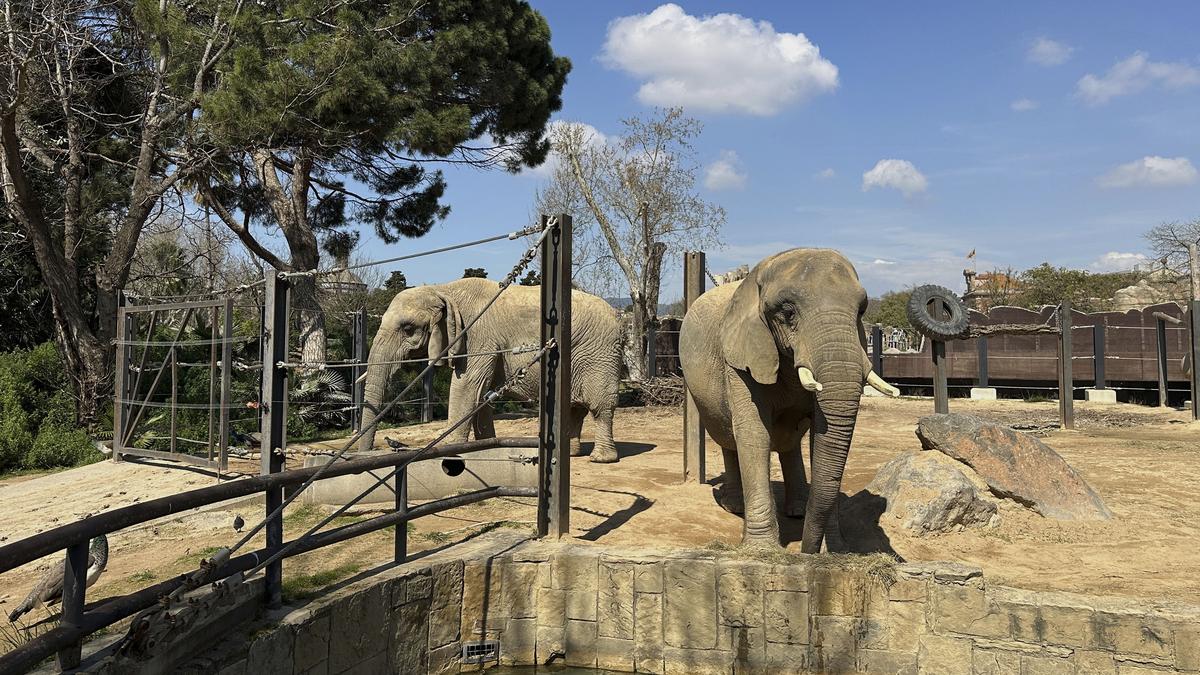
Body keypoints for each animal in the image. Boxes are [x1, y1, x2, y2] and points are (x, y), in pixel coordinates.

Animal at [359, 278, 623, 462]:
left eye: (408, 329)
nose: (370, 453)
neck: (443, 289)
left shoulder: (478, 337)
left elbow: (467, 387)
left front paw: (449, 451)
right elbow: (481, 395)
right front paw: (486, 445)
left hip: (599, 354)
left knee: (600, 407)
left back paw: (601, 459)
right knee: (574, 408)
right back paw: (572, 454)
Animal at [678, 248, 900, 552]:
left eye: (862, 310)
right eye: (787, 312)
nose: (806, 552)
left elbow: (822, 435)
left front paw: (835, 550)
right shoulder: (739, 357)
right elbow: (754, 433)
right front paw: (762, 551)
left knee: (789, 442)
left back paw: (798, 510)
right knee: (728, 438)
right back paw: (735, 507)